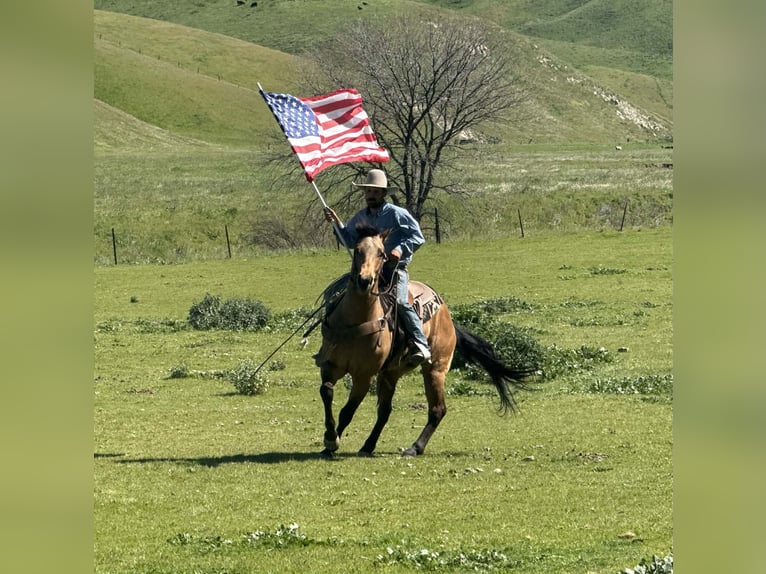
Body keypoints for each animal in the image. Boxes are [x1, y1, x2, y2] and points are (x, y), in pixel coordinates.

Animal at [313, 225, 533, 457]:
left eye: (381, 253)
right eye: (357, 250)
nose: (365, 280)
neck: (356, 320)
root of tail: (448, 318)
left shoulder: (365, 375)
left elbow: (347, 411)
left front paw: (332, 441)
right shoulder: (331, 366)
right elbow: (326, 392)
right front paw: (330, 439)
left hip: (435, 370)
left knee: (437, 410)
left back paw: (415, 447)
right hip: (392, 372)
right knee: (385, 411)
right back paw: (368, 446)